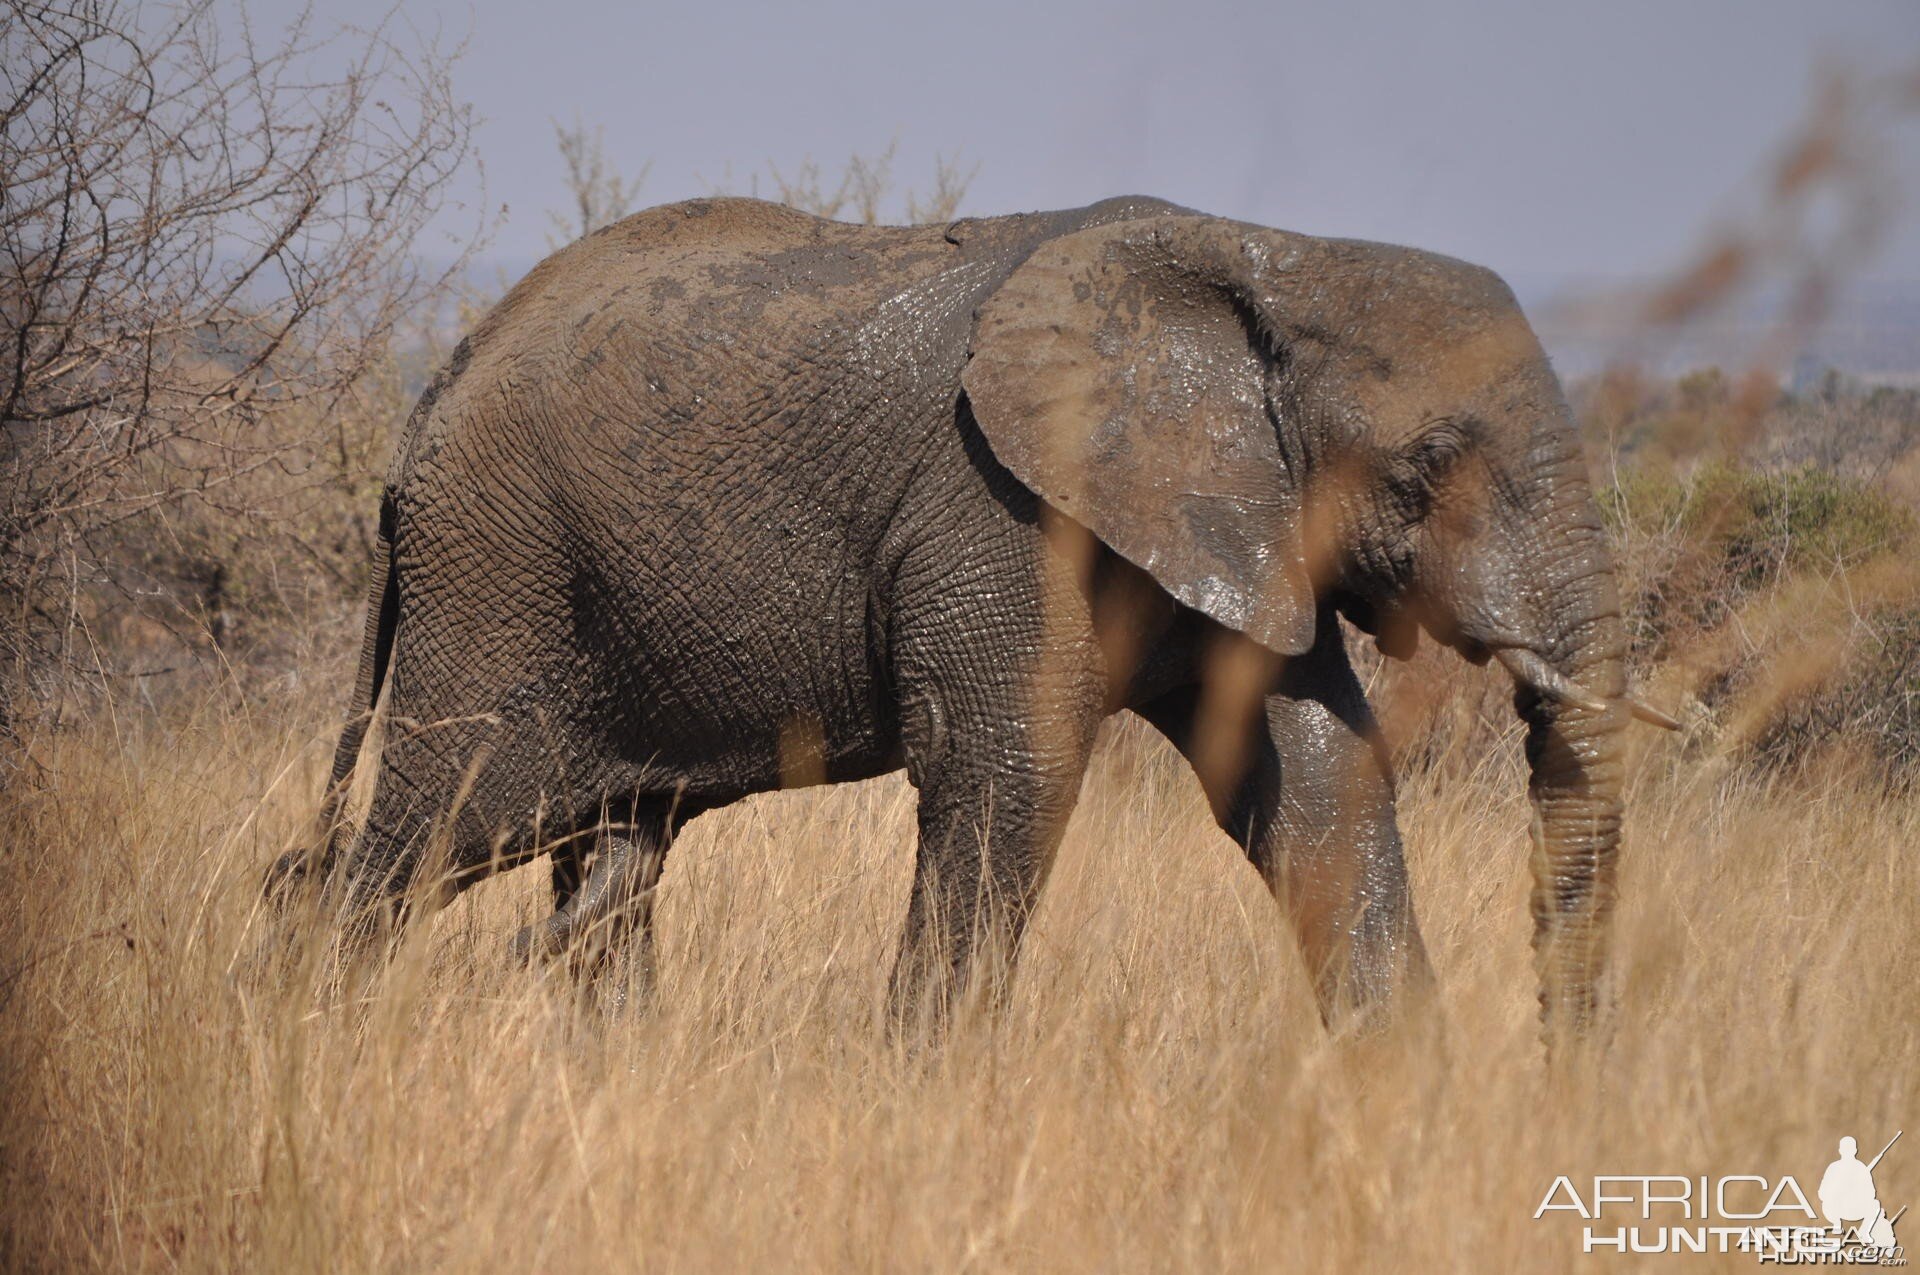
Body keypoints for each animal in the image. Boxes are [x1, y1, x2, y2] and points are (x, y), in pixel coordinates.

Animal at [270, 196, 1681, 1036]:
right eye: (1428, 467)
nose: (1564, 1074)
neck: (1259, 256)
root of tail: (433, 389)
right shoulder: (1003, 509)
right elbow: (1013, 768)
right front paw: (924, 1083)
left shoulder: (1236, 518)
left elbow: (1320, 778)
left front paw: (1405, 1089)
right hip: (498, 573)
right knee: (428, 839)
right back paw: (311, 1032)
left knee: (611, 869)